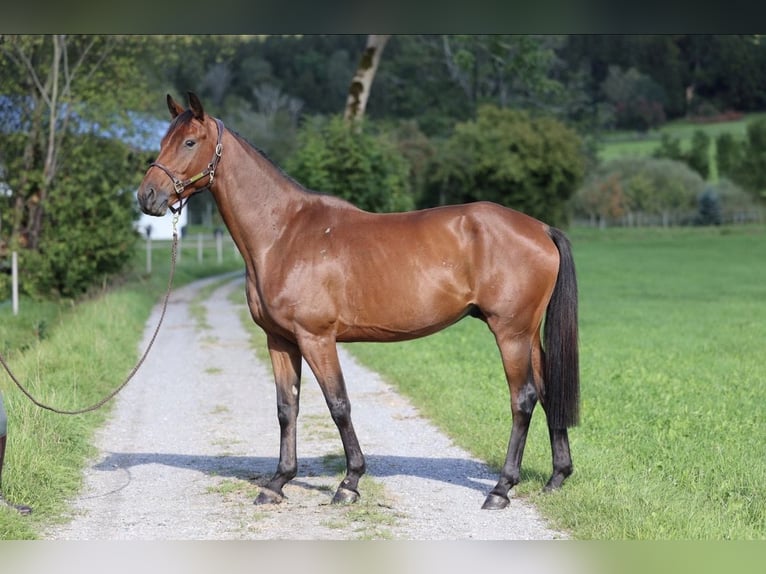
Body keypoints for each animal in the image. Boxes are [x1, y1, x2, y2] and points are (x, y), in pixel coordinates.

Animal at [137, 92, 580, 511]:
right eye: (162, 141)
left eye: (189, 141)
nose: (147, 196)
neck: (283, 233)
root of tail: (540, 228)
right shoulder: (279, 340)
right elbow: (286, 408)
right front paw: (278, 483)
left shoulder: (316, 338)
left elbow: (338, 405)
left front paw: (349, 483)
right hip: (528, 334)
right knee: (546, 392)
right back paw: (556, 478)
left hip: (510, 332)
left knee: (523, 399)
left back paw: (501, 489)